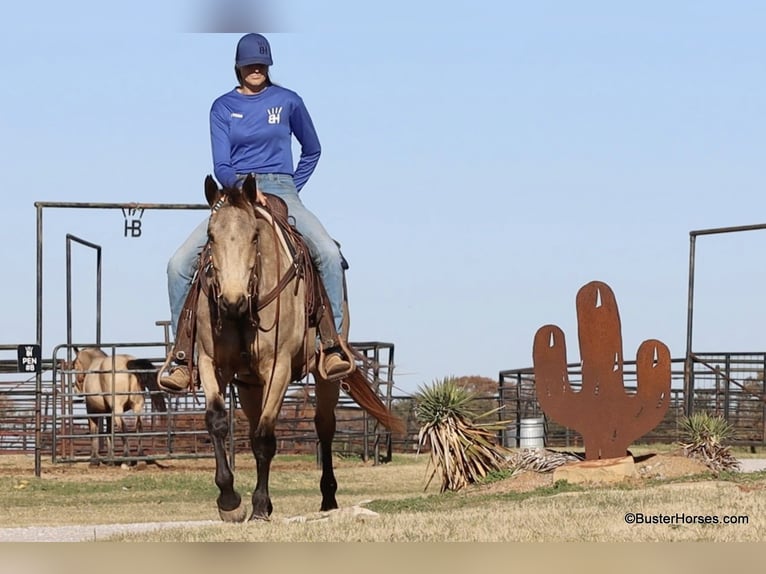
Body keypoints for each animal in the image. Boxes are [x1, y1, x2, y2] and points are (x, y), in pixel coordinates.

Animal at [194, 174, 402, 522]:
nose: (232, 300)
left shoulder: (278, 367)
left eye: (254, 236)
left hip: (326, 378)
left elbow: (265, 438)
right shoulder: (212, 364)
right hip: (250, 384)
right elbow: (217, 422)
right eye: (210, 236)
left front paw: (259, 506)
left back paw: (328, 498)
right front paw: (230, 500)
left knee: (324, 427)